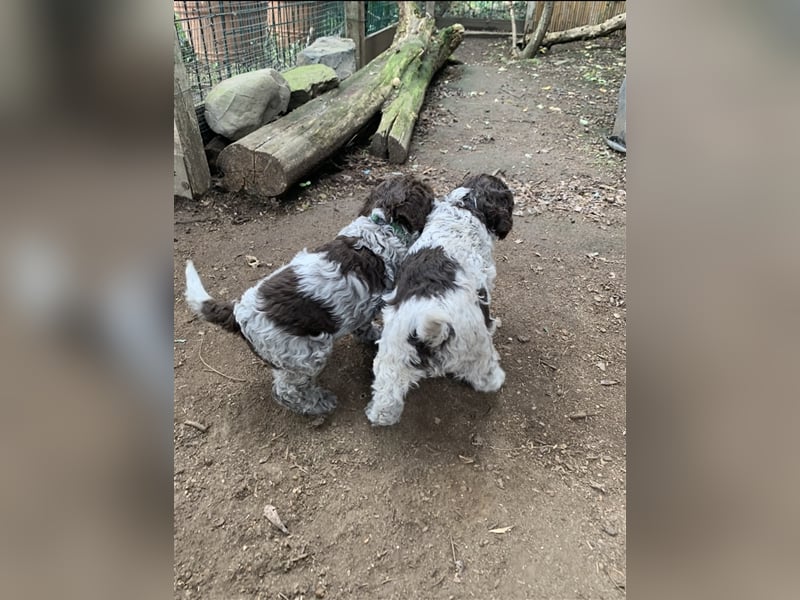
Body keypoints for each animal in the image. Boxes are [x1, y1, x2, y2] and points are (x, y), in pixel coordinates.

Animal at [368, 173, 516, 426]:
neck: (464, 207)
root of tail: (427, 330)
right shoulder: (486, 280)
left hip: (391, 358)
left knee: (386, 398)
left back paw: (378, 415)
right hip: (477, 348)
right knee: (484, 376)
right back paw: (497, 379)